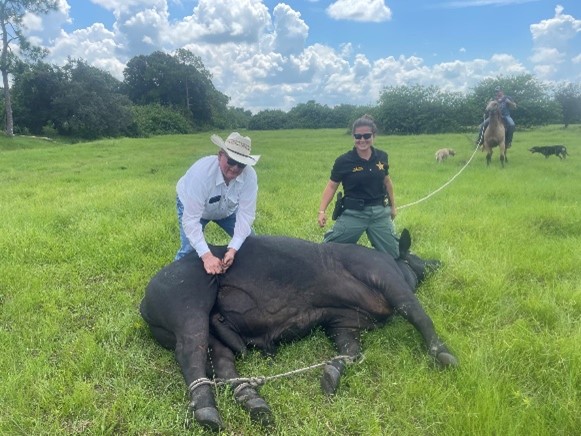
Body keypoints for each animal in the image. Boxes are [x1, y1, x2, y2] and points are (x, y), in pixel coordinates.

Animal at [138, 230, 456, 430]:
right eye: (417, 257)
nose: (438, 261)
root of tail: (144, 302)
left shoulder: (343, 323)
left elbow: (352, 352)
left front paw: (328, 381)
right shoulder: (385, 274)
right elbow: (416, 311)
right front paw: (447, 358)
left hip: (214, 334)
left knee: (223, 363)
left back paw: (259, 407)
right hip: (187, 301)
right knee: (190, 353)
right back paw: (209, 415)